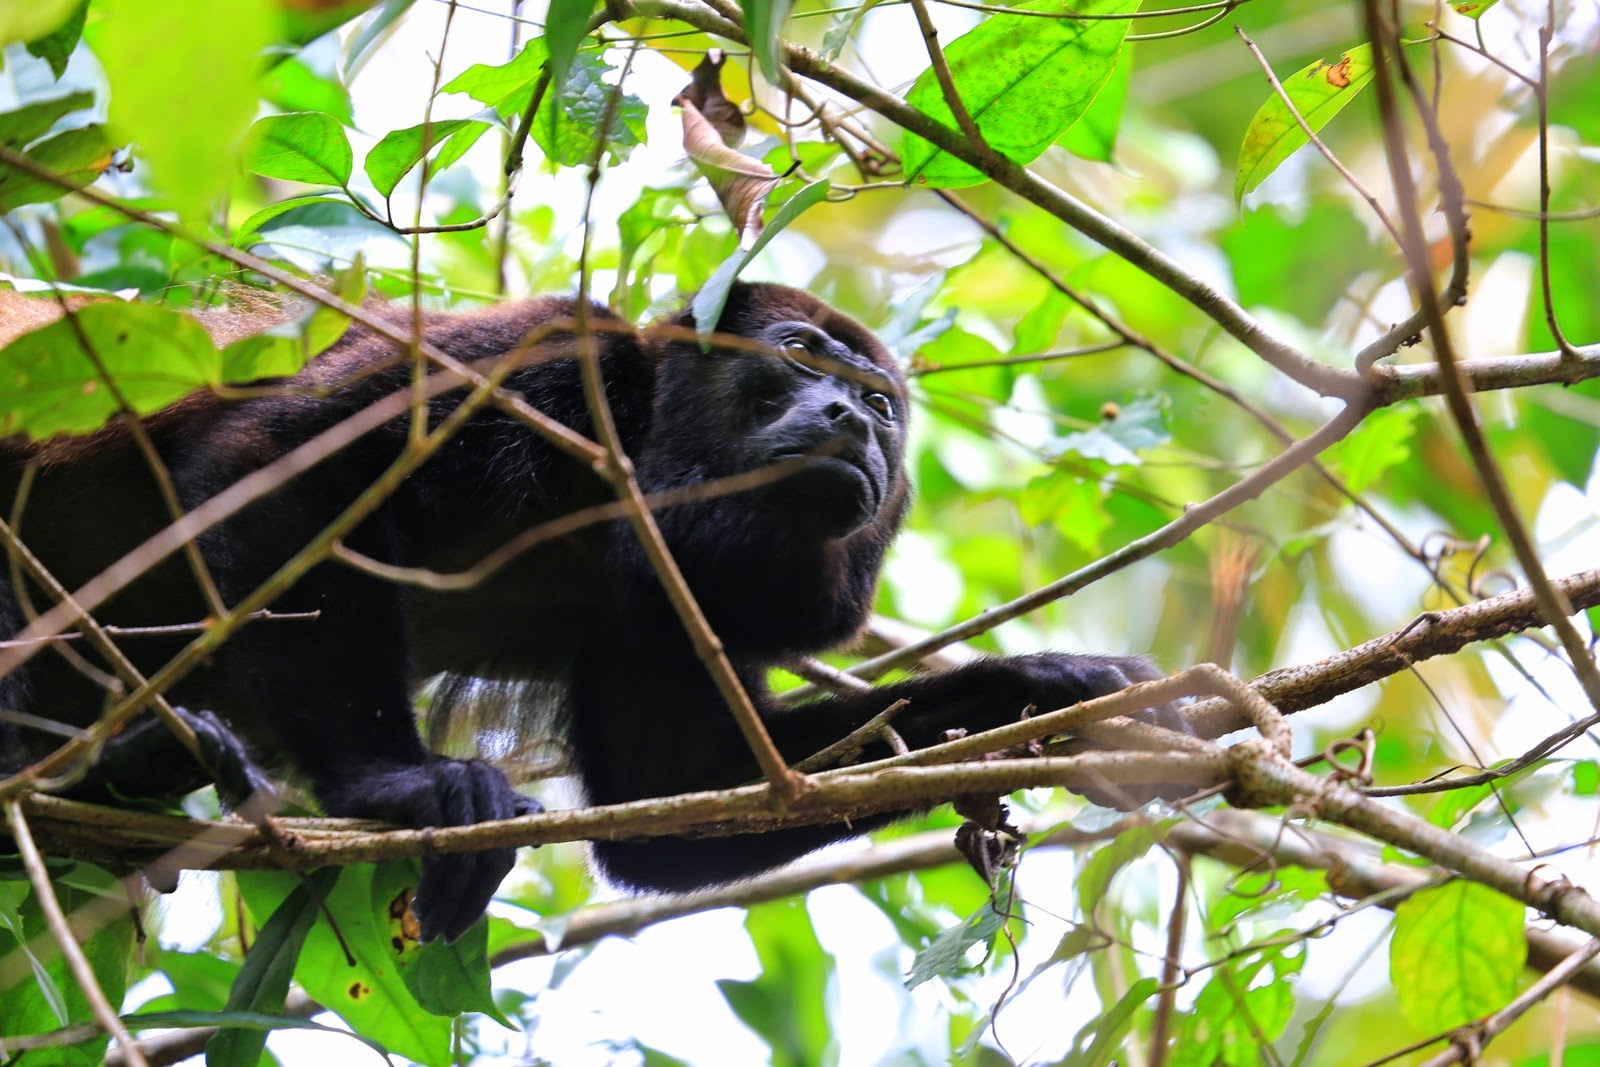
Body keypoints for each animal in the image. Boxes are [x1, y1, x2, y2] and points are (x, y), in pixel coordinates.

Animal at [0, 284, 1169, 942]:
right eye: (798, 354)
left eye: (884, 407)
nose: (852, 418)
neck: (642, 462)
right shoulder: (539, 362)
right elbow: (282, 475)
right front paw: (402, 782)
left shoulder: (666, 598)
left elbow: (675, 796)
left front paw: (1044, 689)